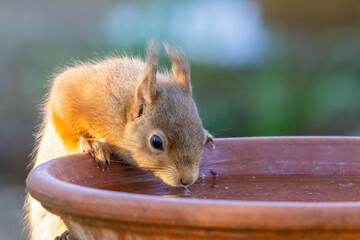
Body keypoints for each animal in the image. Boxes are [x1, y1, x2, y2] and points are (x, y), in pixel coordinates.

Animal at [26, 43, 215, 240]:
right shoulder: (84, 96)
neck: (123, 110)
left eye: (201, 138)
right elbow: (63, 111)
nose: (188, 179)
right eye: (156, 142)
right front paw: (91, 144)